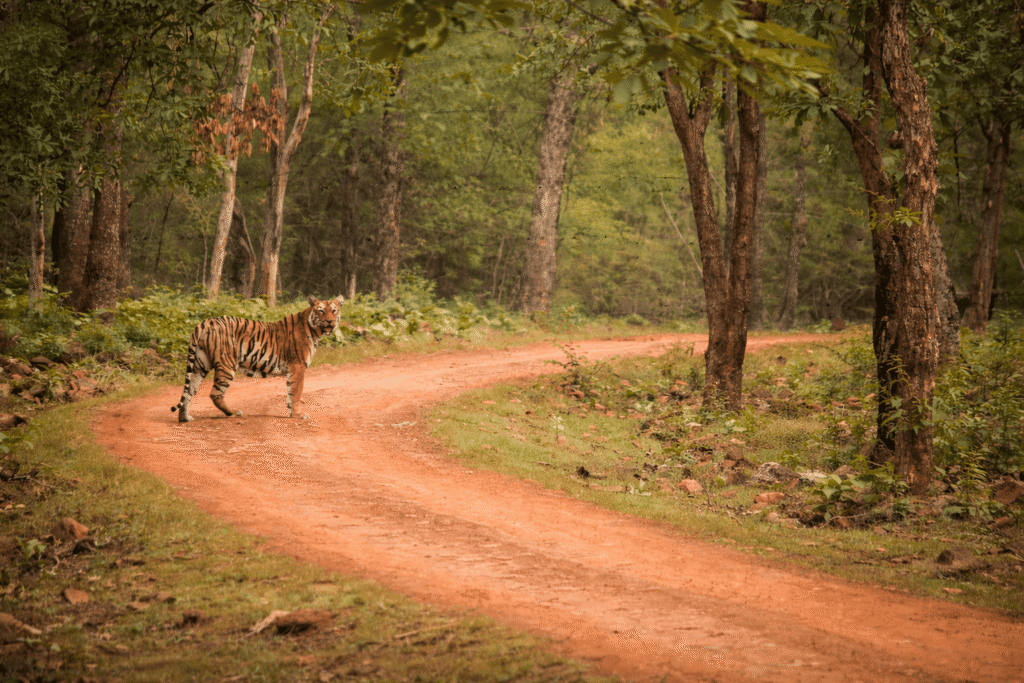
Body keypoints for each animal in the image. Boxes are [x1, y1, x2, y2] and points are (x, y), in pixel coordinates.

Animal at [171, 295, 344, 423]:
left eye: (334, 311)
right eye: (321, 311)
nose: (330, 321)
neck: (315, 331)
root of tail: (205, 322)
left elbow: (290, 393)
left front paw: (291, 412)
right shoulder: (298, 367)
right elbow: (296, 392)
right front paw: (297, 415)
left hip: (200, 365)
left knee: (188, 392)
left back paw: (185, 418)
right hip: (227, 365)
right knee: (215, 393)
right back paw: (233, 413)